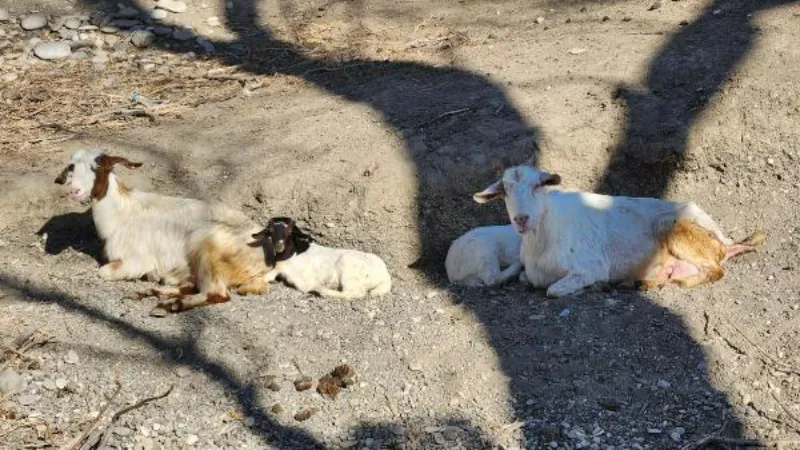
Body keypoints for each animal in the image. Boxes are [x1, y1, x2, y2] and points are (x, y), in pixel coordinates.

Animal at [255, 217, 392, 298]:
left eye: (289, 231)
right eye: (270, 231)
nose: (279, 245)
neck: (291, 255)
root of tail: (384, 275)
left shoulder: (305, 280)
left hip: (348, 270)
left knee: (355, 292)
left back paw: (321, 291)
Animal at [472, 163, 764, 298]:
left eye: (537, 186)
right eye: (505, 191)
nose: (521, 219)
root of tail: (724, 240)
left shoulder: (590, 267)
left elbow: (553, 290)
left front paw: (594, 286)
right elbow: (525, 278)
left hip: (677, 228)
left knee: (717, 270)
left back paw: (678, 282)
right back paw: (641, 283)